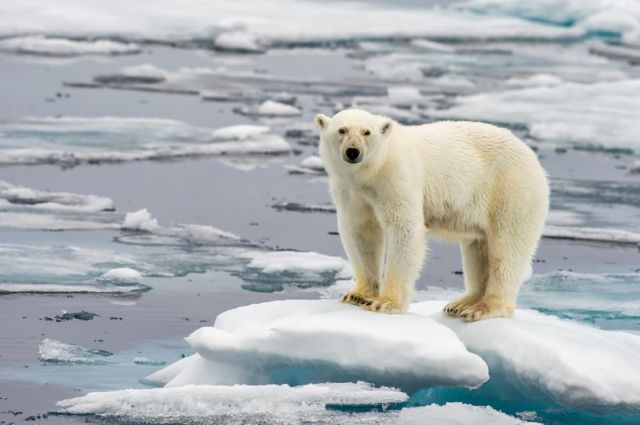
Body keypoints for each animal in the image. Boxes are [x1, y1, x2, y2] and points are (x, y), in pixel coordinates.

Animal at [314, 109, 549, 321]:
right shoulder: (351, 191)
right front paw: (358, 295)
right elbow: (361, 233)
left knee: (507, 247)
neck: (372, 172)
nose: (353, 151)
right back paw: (461, 304)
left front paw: (385, 303)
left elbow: (405, 229)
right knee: (479, 247)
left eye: (366, 132)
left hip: (511, 189)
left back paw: (483, 308)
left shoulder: (397, 178)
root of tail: (532, 157)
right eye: (342, 130)